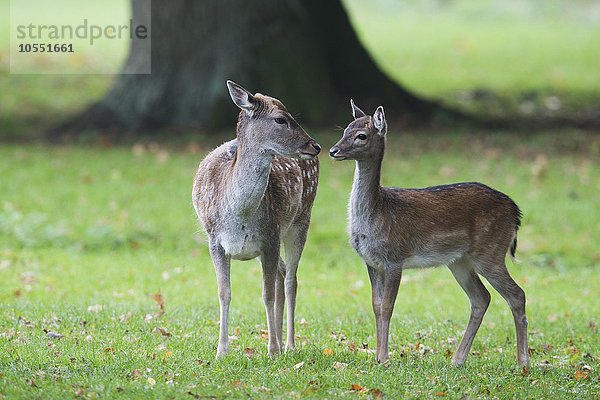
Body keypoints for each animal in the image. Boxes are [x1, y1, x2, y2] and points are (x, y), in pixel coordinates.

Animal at [195, 80, 322, 356]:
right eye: (280, 119)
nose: (315, 146)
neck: (238, 214)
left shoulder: (270, 236)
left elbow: (267, 294)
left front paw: (272, 349)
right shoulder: (214, 240)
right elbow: (224, 292)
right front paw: (221, 351)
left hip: (301, 219)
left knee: (290, 280)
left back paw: (289, 344)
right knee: (283, 273)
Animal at [328, 100, 528, 366]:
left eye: (361, 135)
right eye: (345, 129)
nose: (333, 150)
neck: (377, 214)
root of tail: (515, 211)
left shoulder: (394, 258)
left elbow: (387, 307)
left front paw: (385, 358)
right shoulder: (371, 262)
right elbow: (375, 305)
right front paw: (378, 357)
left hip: (490, 251)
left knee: (517, 295)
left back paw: (523, 361)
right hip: (459, 261)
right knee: (481, 298)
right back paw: (458, 360)